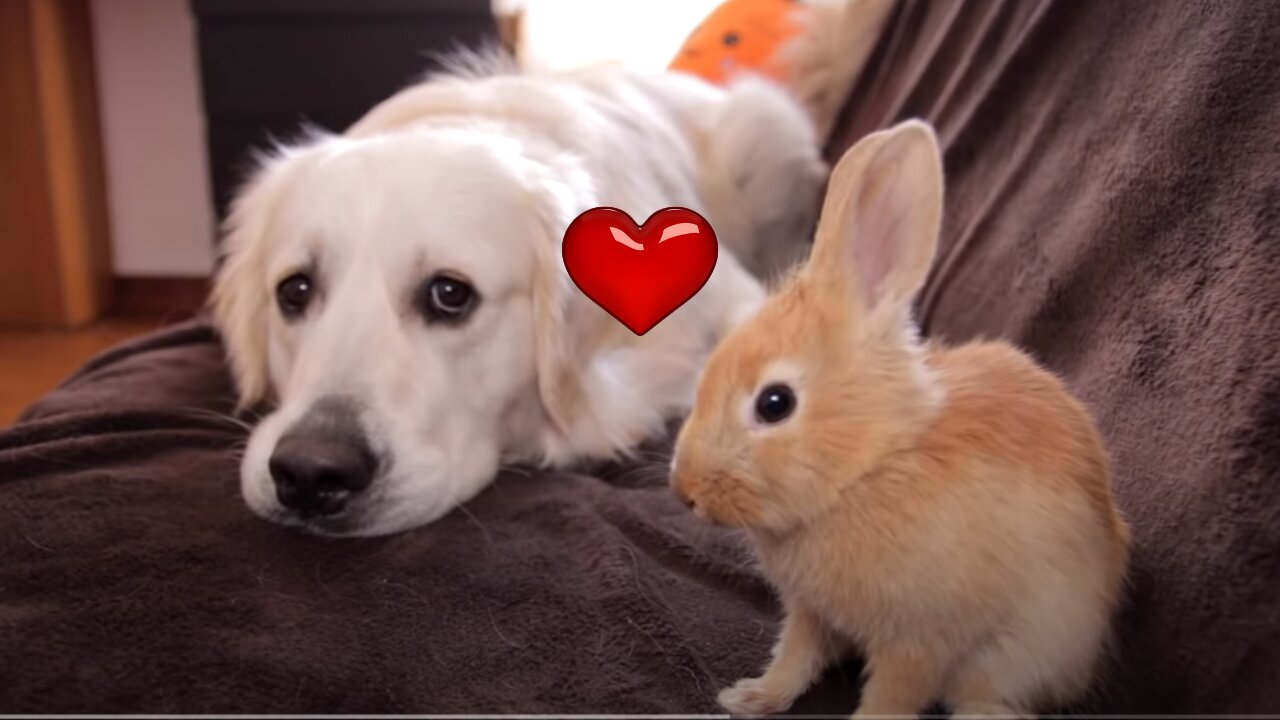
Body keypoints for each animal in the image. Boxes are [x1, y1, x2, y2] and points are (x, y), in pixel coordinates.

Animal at [670, 120, 1131, 712]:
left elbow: (891, 698)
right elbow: (795, 657)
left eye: (775, 403)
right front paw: (750, 698)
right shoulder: (812, 612)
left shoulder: (920, 643)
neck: (872, 464)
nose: (684, 491)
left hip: (1016, 655)